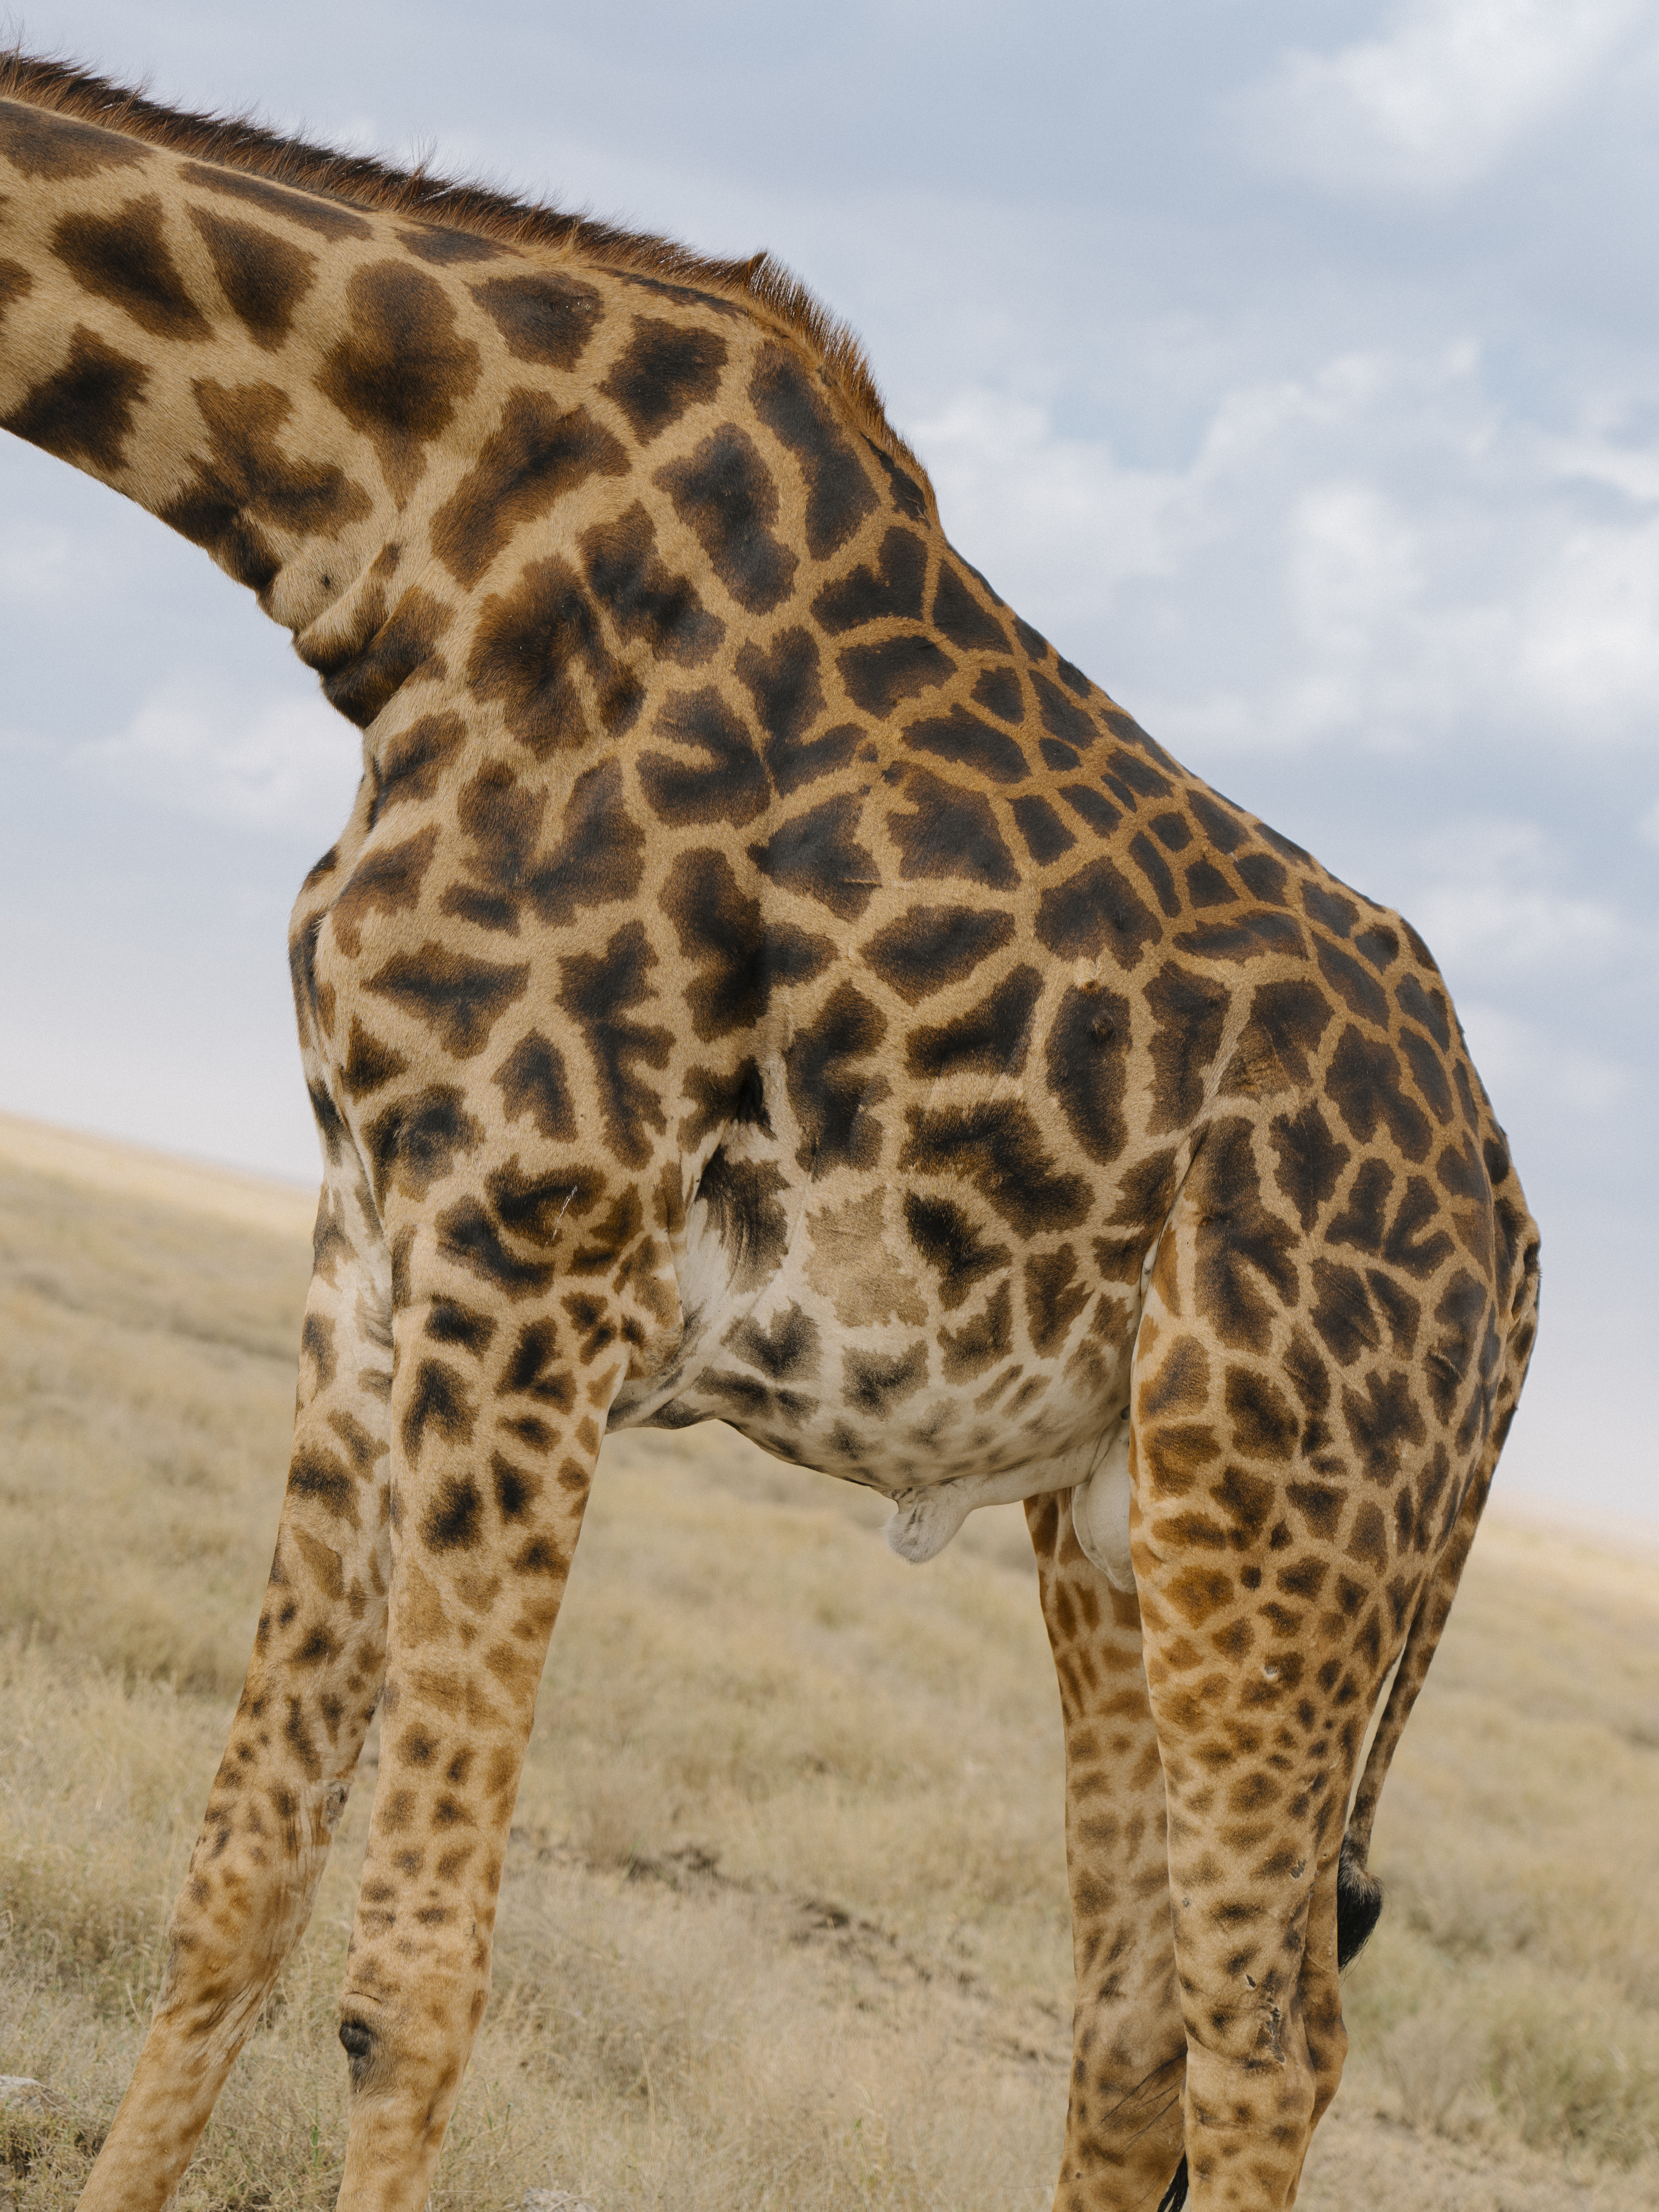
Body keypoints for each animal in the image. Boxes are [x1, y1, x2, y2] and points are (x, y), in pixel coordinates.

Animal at [0, 53, 1540, 2212]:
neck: (412, 532)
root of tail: (1514, 1225)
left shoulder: (531, 1244)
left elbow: (410, 1976)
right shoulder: (363, 1248)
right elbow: (236, 1879)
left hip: (1282, 1522)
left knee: (1267, 2044)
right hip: (1117, 1524)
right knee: (1129, 2028)